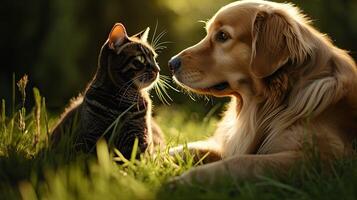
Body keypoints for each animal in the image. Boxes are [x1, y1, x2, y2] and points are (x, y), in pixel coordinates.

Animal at [51, 23, 164, 158]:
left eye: (154, 58)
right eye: (141, 59)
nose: (158, 69)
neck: (120, 102)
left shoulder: (139, 139)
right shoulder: (90, 138)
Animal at [168, 0, 356, 184]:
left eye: (222, 36)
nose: (171, 63)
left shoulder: (319, 157)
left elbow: (242, 161)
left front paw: (182, 180)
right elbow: (187, 149)